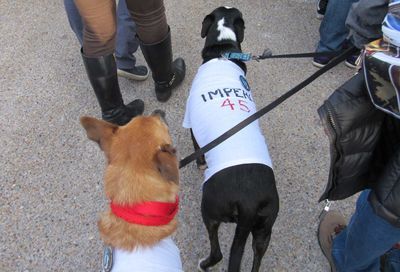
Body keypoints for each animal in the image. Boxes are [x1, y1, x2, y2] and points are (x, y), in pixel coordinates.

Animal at [183, 5, 280, 272]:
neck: (222, 52)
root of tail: (249, 203)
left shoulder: (192, 125)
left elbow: (198, 149)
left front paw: (200, 164)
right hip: (264, 229)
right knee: (257, 258)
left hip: (210, 211)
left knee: (217, 252)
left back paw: (204, 263)